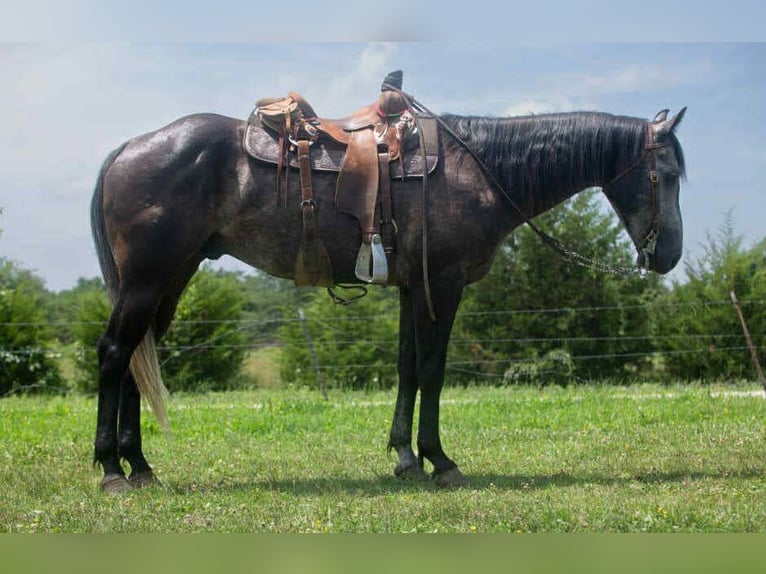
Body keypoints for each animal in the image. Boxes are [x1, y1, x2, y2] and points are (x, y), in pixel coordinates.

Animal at [90, 101, 686, 491]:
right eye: (669, 173)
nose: (668, 256)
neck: (479, 170)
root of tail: (129, 147)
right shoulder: (441, 284)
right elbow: (432, 371)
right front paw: (439, 460)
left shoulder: (409, 288)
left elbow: (405, 368)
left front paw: (404, 457)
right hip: (148, 278)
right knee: (116, 353)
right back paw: (113, 471)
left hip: (171, 278)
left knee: (137, 362)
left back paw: (141, 467)